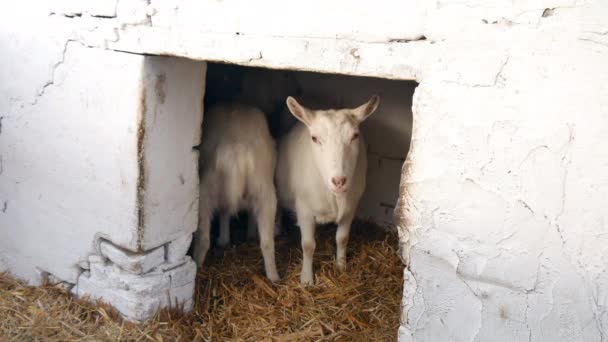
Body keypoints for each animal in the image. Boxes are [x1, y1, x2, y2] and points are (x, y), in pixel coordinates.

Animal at [192, 103, 280, 282]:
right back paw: (274, 277)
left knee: (203, 237)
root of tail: (237, 147)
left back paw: (196, 266)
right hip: (264, 191)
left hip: (205, 191)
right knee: (267, 241)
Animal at [276, 95, 380, 284]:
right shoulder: (304, 208)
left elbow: (342, 239)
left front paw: (341, 266)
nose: (339, 181)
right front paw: (306, 279)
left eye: (355, 136)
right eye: (315, 138)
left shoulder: (351, 207)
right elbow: (308, 245)